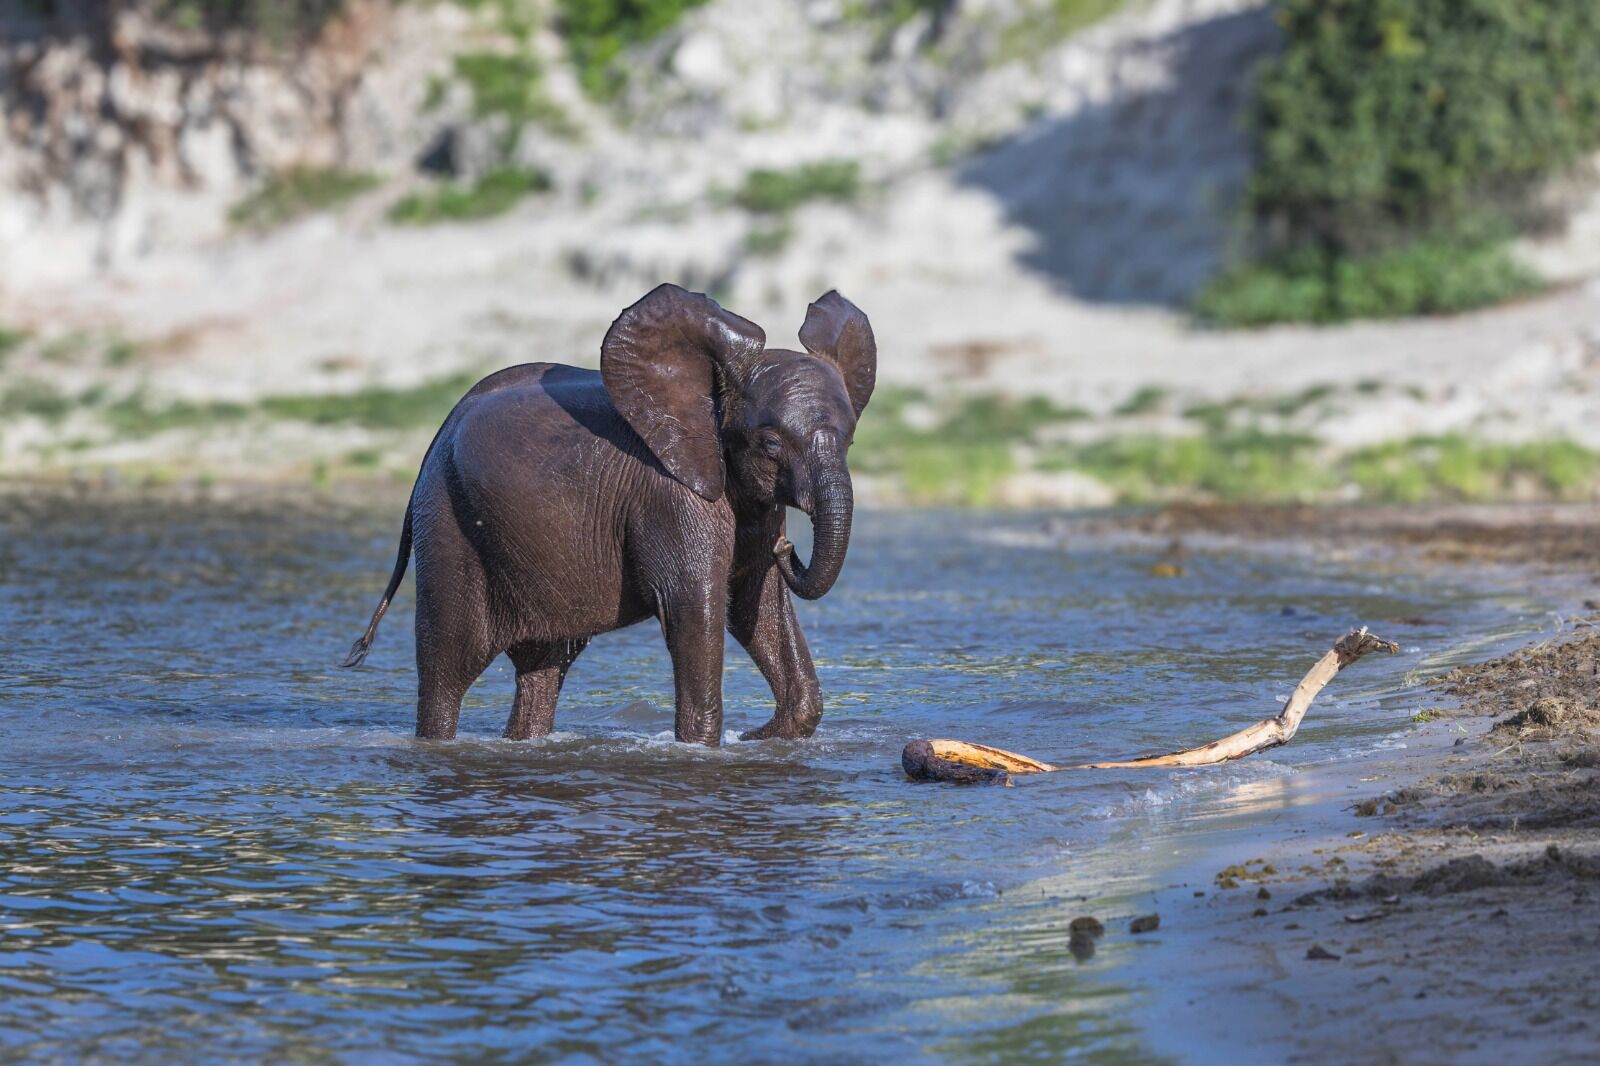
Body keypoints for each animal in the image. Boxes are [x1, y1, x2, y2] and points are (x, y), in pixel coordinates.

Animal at [343, 284, 876, 746]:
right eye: (769, 444)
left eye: (852, 441)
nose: (789, 546)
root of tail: (438, 434)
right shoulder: (669, 496)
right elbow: (695, 606)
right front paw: (708, 746)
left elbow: (756, 605)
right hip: (447, 524)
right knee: (446, 671)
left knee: (542, 669)